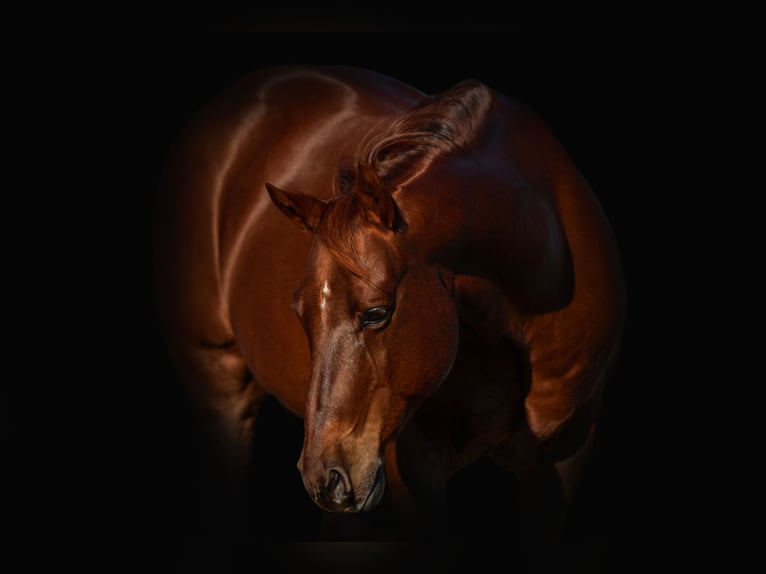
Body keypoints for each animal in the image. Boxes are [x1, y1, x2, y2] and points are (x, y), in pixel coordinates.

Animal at [154, 65, 624, 544]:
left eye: (376, 313)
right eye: (300, 313)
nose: (323, 477)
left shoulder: (563, 459)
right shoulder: (413, 465)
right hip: (219, 385)